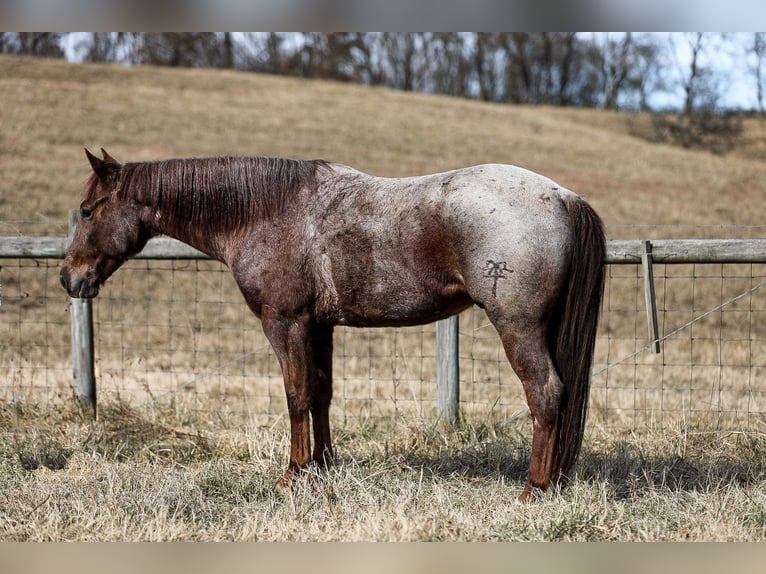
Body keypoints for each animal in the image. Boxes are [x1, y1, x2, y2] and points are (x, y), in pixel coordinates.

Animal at [60, 148, 605, 501]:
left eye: (86, 211)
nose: (69, 277)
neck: (265, 213)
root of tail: (562, 196)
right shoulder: (319, 327)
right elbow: (320, 392)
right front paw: (322, 467)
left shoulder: (286, 324)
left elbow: (296, 394)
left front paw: (294, 474)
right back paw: (553, 481)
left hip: (518, 327)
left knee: (546, 394)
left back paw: (535, 489)